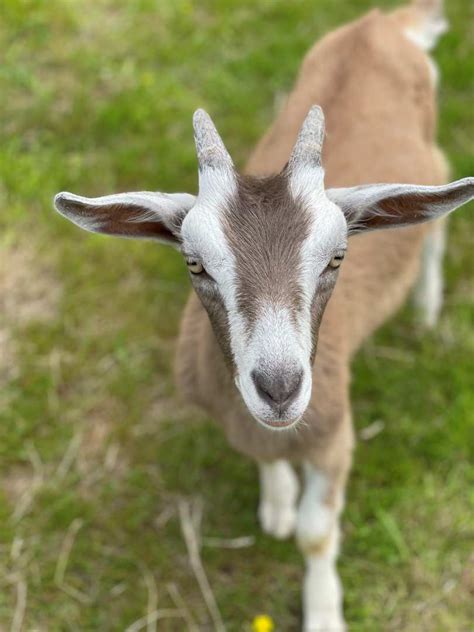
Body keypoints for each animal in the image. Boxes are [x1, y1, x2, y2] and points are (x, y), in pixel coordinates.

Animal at [56, 0, 474, 628]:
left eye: (337, 256)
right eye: (194, 262)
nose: (279, 388)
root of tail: (383, 22)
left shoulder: (335, 436)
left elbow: (316, 533)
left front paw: (323, 611)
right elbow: (265, 465)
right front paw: (277, 504)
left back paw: (426, 308)